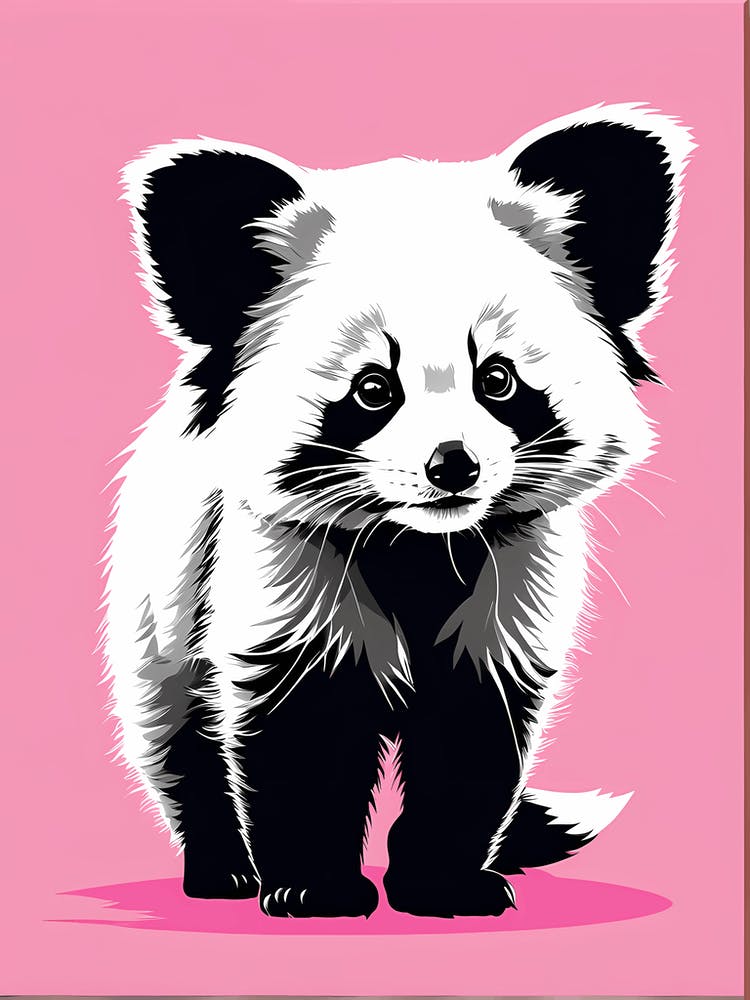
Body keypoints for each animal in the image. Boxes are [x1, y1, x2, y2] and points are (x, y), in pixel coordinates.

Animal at [103, 104, 692, 918]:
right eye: (373, 389)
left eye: (498, 379)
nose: (453, 466)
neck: (418, 544)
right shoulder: (280, 559)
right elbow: (302, 722)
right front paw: (312, 885)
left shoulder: (514, 575)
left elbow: (473, 734)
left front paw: (446, 882)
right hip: (162, 579)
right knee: (174, 727)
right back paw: (219, 866)